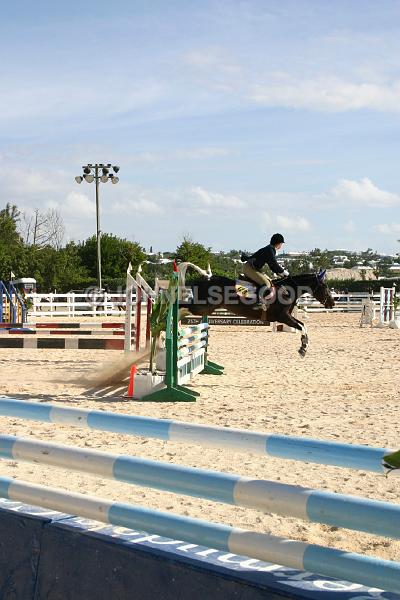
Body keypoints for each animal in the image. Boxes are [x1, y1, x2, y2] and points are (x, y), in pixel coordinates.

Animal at [178, 268, 334, 356]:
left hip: (206, 308)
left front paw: (304, 347)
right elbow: (301, 326)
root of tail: (206, 278)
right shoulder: (283, 317)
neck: (288, 290)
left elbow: (303, 325)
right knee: (181, 306)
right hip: (202, 306)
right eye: (325, 286)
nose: (332, 303)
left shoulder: (287, 317)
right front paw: (303, 349)